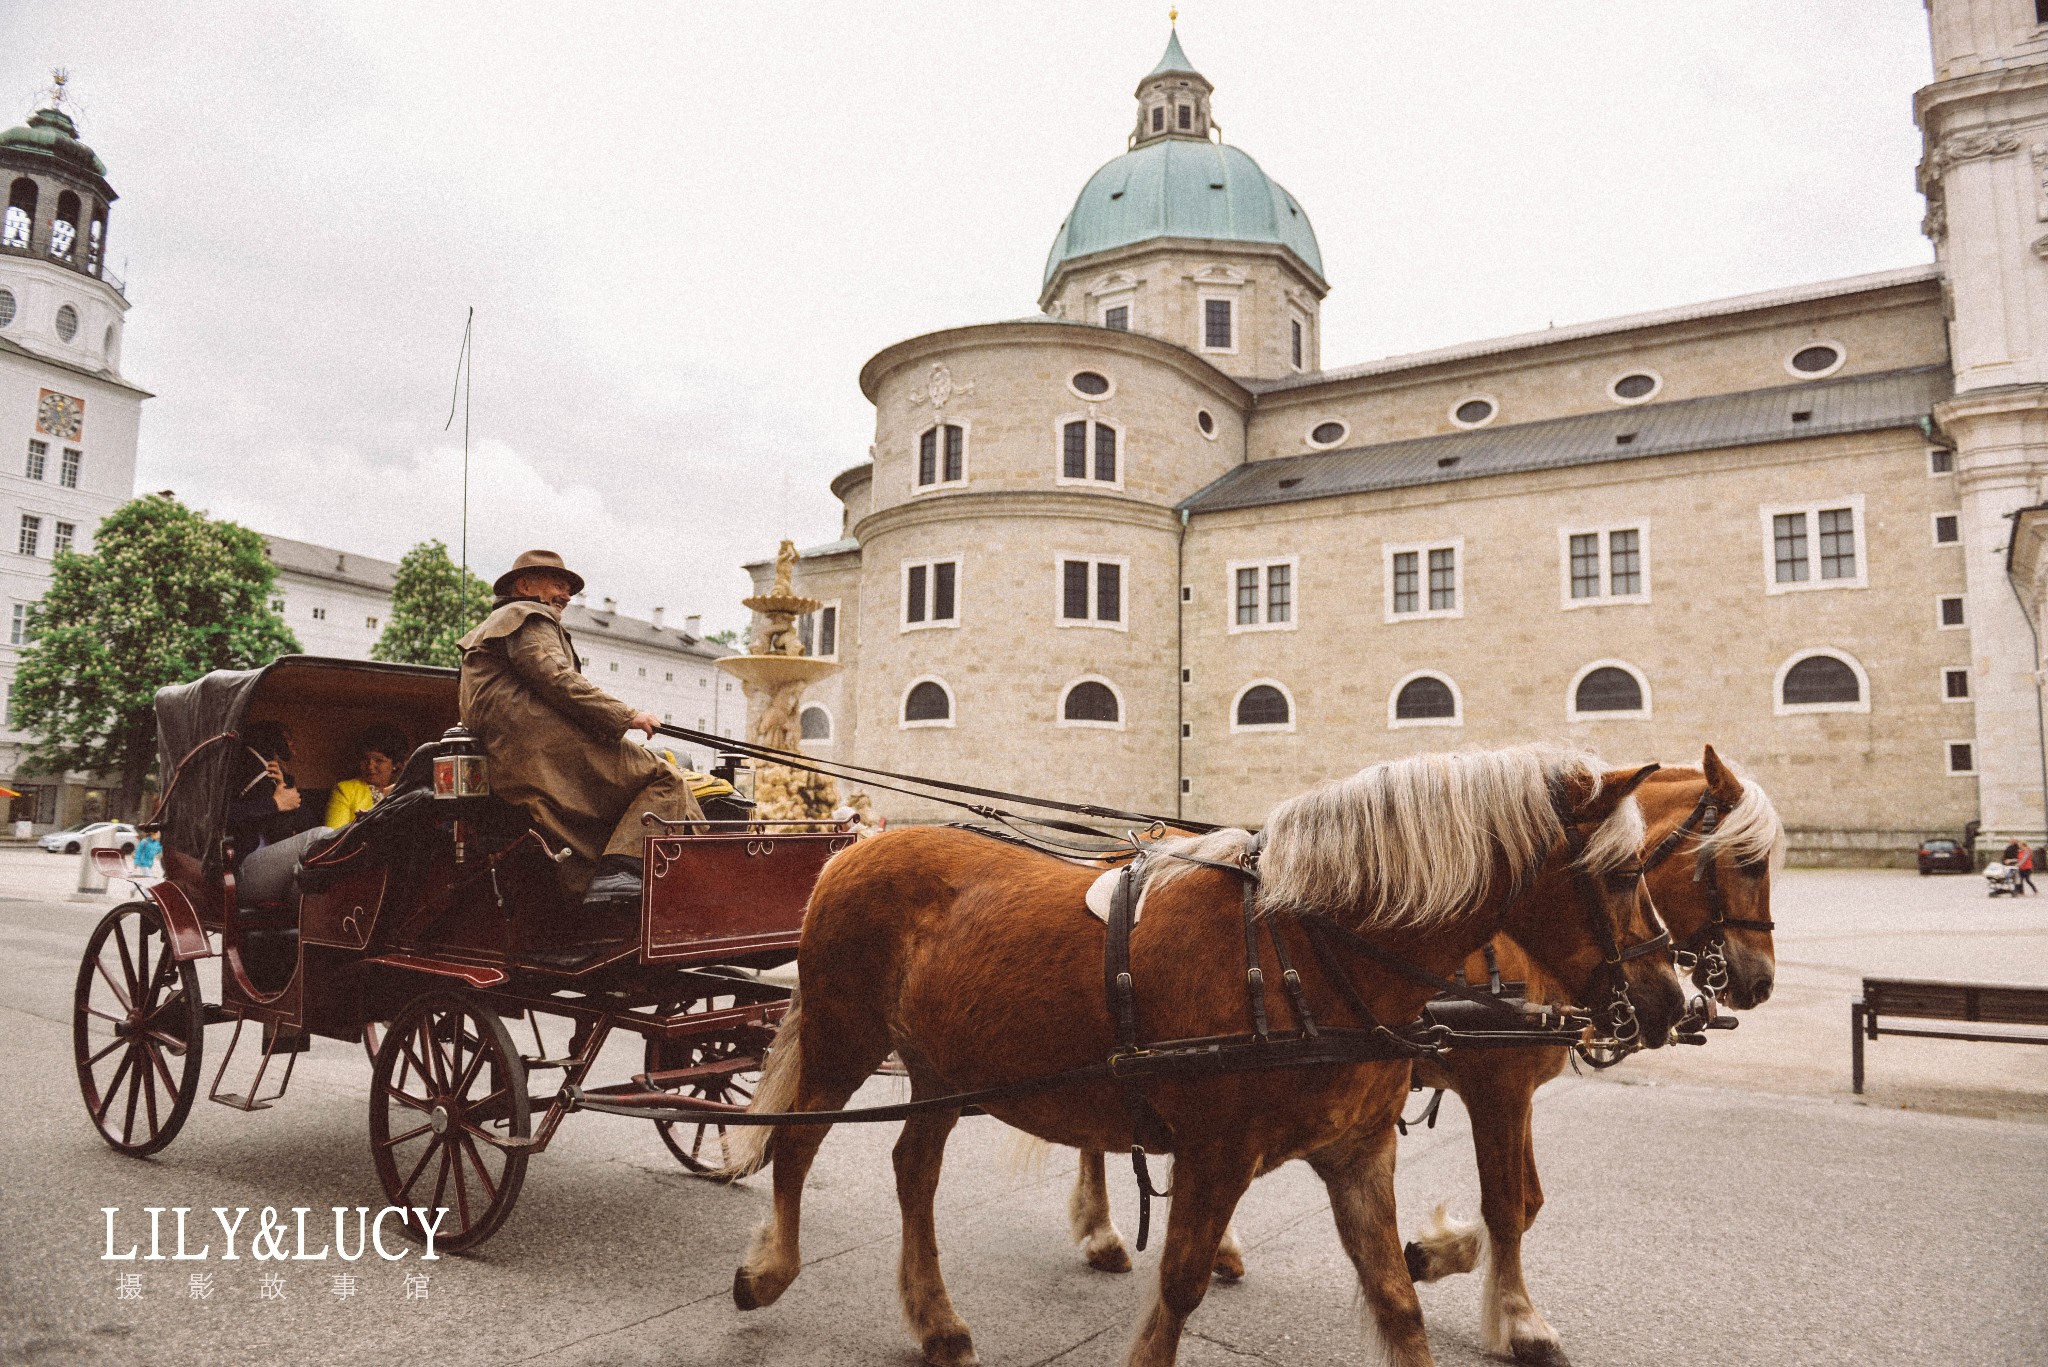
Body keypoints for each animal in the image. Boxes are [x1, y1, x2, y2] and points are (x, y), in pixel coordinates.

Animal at [720, 750, 1679, 1367]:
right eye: (1626, 871)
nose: (1677, 998)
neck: (1308, 951)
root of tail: (857, 846)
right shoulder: (1217, 1156)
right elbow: (1178, 1288)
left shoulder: (1359, 1153)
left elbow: (1398, 1303)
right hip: (846, 1036)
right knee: (797, 1144)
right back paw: (771, 1269)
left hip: (946, 1067)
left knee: (913, 1168)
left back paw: (937, 1320)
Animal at [1064, 750, 1785, 1367]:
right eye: (1748, 861)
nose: (1759, 980)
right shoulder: (1498, 1087)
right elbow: (1508, 1204)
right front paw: (1517, 1317)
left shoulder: (1514, 1088)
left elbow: (1527, 1201)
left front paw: (1435, 1256)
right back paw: (1103, 1230)